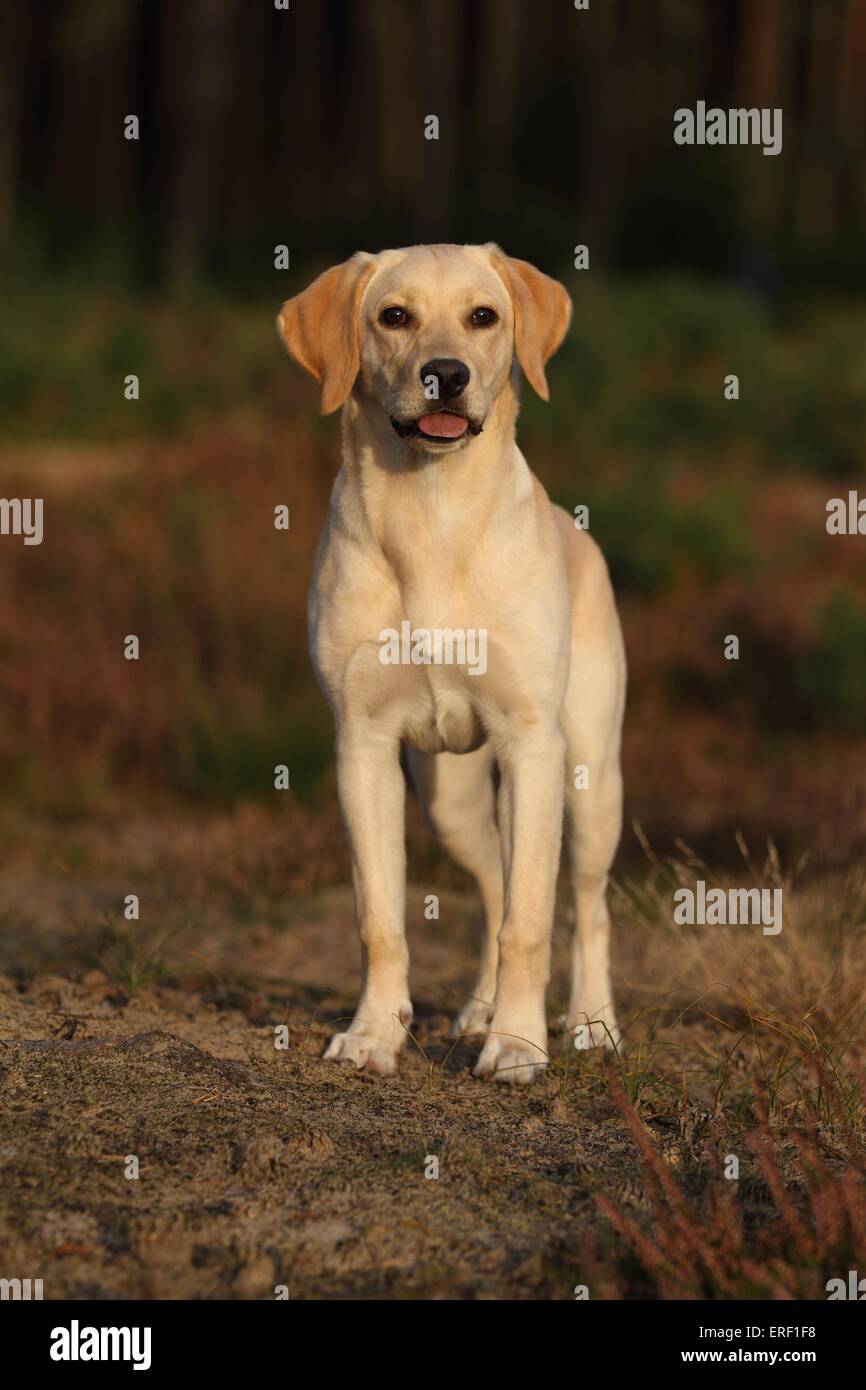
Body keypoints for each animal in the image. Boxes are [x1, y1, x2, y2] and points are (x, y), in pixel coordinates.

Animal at [280, 244, 625, 1078]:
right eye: (394, 316)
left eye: (483, 316)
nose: (447, 373)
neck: (430, 513)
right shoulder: (362, 747)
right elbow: (380, 917)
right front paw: (374, 1035)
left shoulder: (533, 745)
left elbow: (534, 918)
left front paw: (520, 1047)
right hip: (453, 806)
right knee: (497, 884)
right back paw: (480, 1010)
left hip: (589, 778)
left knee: (587, 904)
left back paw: (592, 1023)